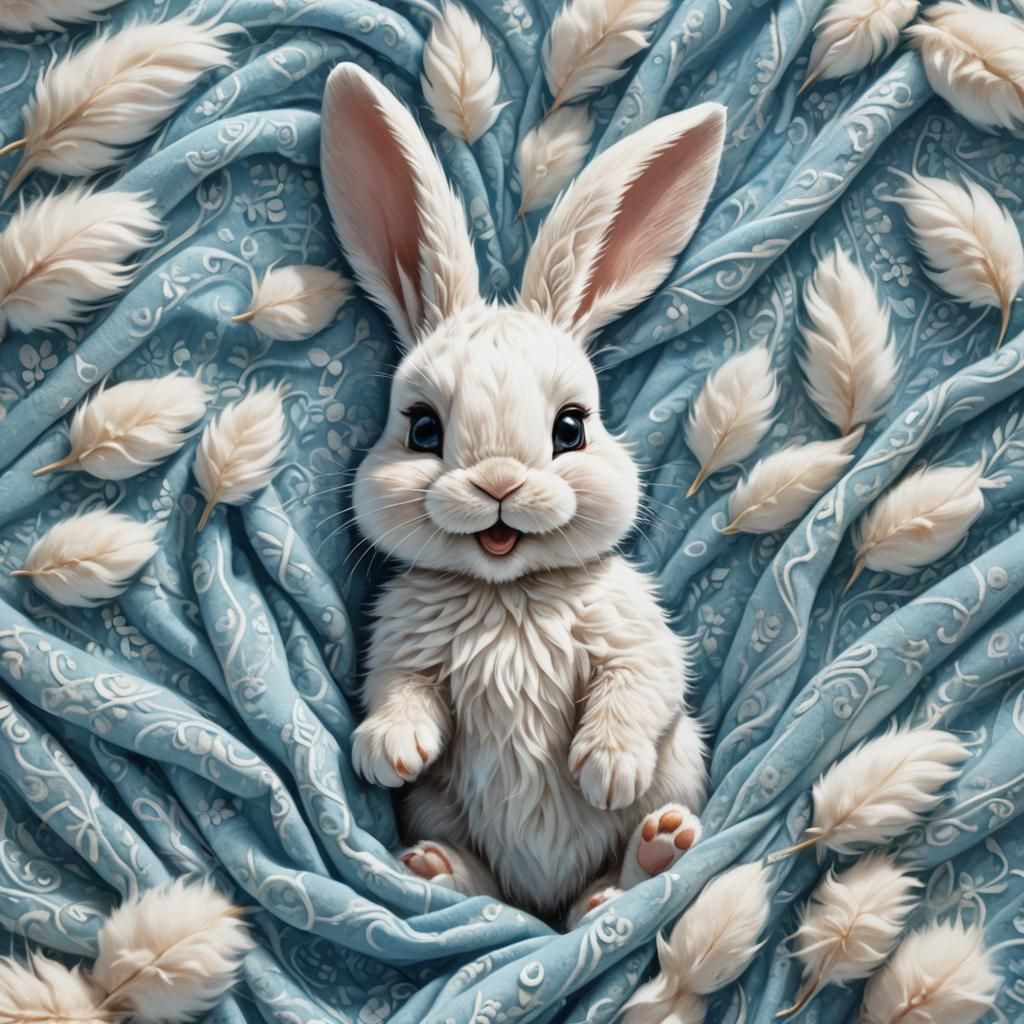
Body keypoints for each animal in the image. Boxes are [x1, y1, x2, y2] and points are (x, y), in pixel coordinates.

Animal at [321, 63, 727, 923]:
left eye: (571, 429)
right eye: (424, 430)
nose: (499, 483)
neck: (508, 593)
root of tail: (547, 903)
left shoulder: (635, 642)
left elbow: (639, 685)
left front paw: (604, 766)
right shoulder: (402, 652)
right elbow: (400, 693)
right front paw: (387, 750)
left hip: (680, 766)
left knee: (624, 869)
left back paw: (640, 866)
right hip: (442, 811)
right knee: (494, 893)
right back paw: (439, 872)